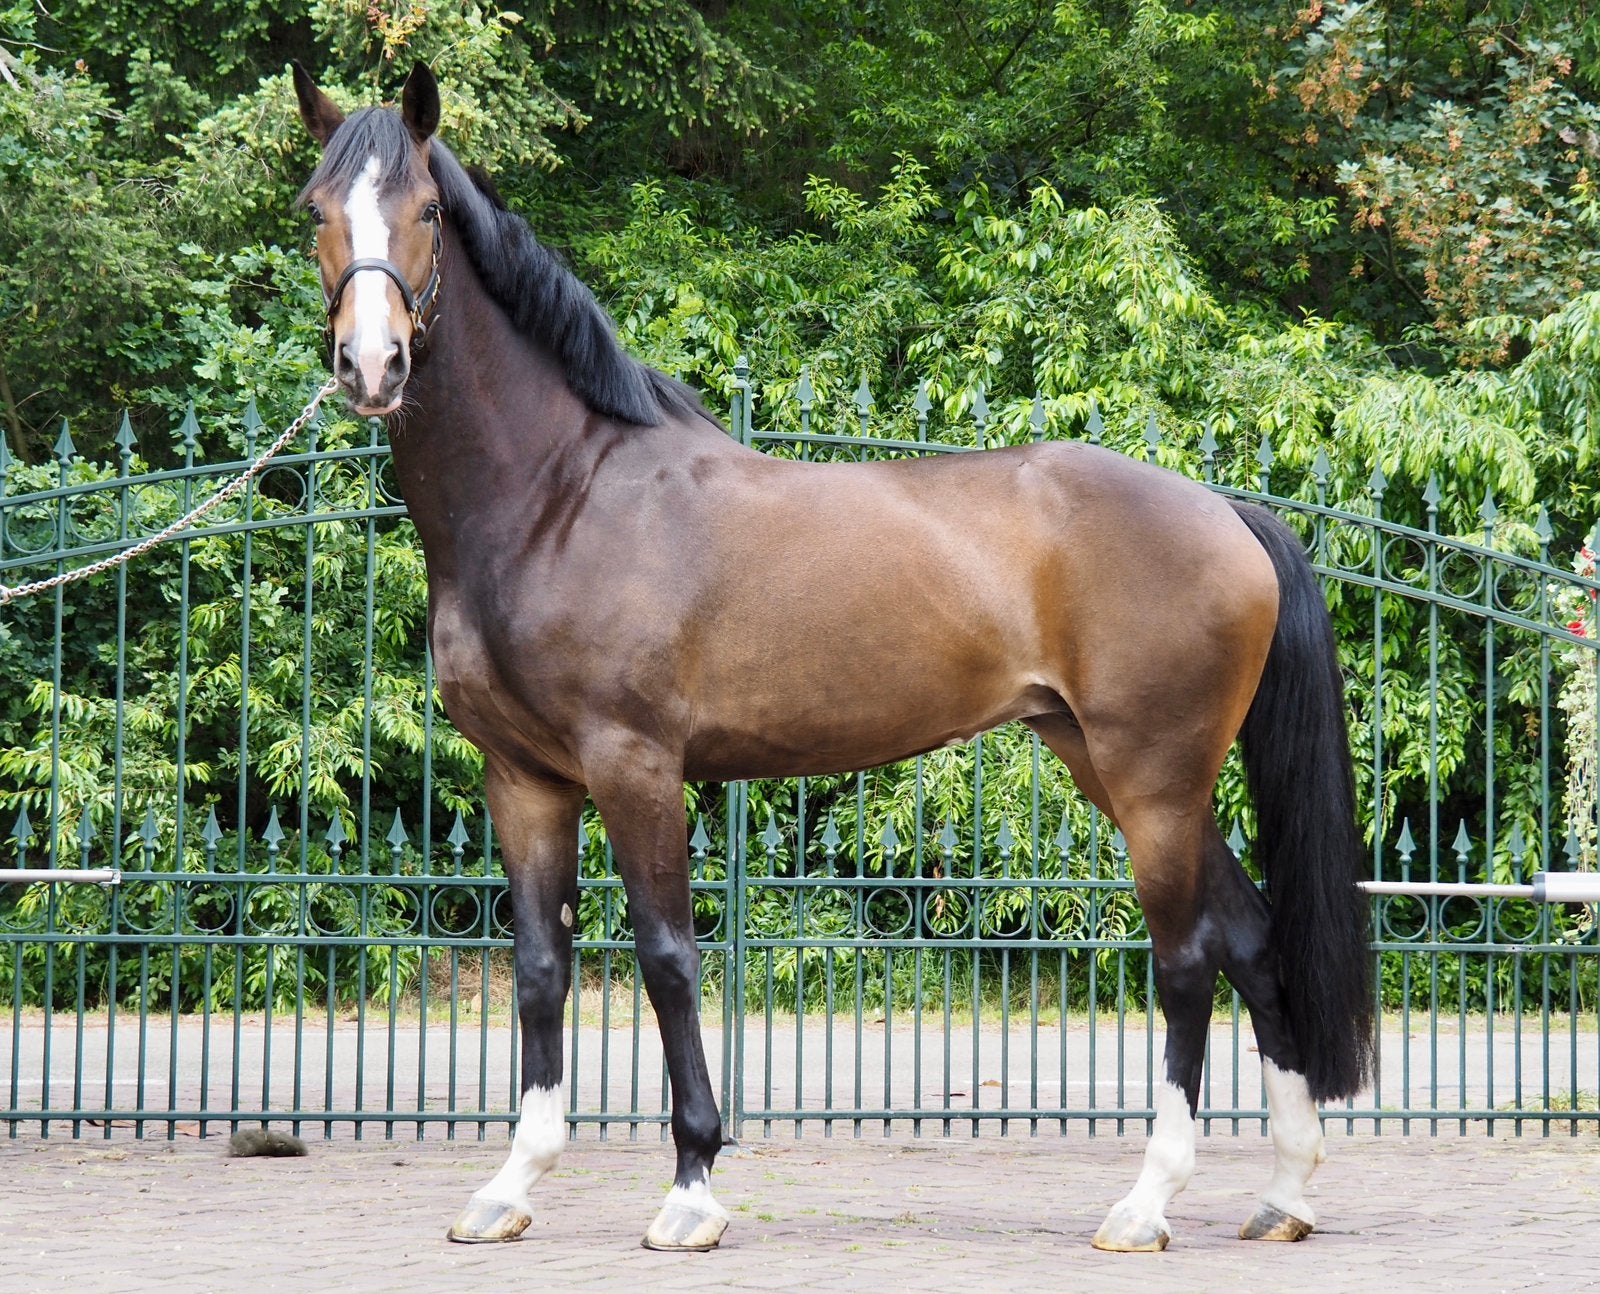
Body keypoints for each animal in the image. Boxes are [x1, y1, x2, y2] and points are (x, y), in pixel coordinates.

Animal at [291, 61, 1373, 1254]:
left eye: (428, 210)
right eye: (314, 211)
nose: (372, 364)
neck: (559, 497)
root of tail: (1228, 513)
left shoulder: (635, 766)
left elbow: (667, 960)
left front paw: (691, 1190)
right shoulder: (523, 778)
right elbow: (539, 969)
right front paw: (511, 1185)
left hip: (1154, 782)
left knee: (1186, 963)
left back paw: (1145, 1204)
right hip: (1106, 763)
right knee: (1253, 938)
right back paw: (1285, 1192)